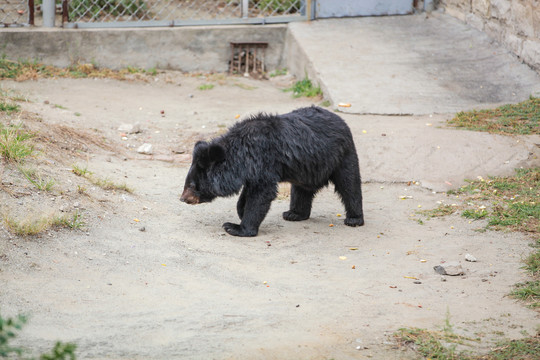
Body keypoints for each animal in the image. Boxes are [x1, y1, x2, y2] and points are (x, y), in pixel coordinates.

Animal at [180, 105, 362, 238]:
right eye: (187, 183)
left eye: (192, 185)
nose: (183, 199)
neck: (242, 154)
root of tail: (341, 121)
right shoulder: (251, 170)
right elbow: (248, 193)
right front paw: (240, 212)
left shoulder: (263, 161)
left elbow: (261, 194)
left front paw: (235, 227)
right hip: (307, 167)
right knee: (301, 191)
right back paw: (294, 214)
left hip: (342, 156)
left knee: (349, 185)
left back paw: (354, 219)